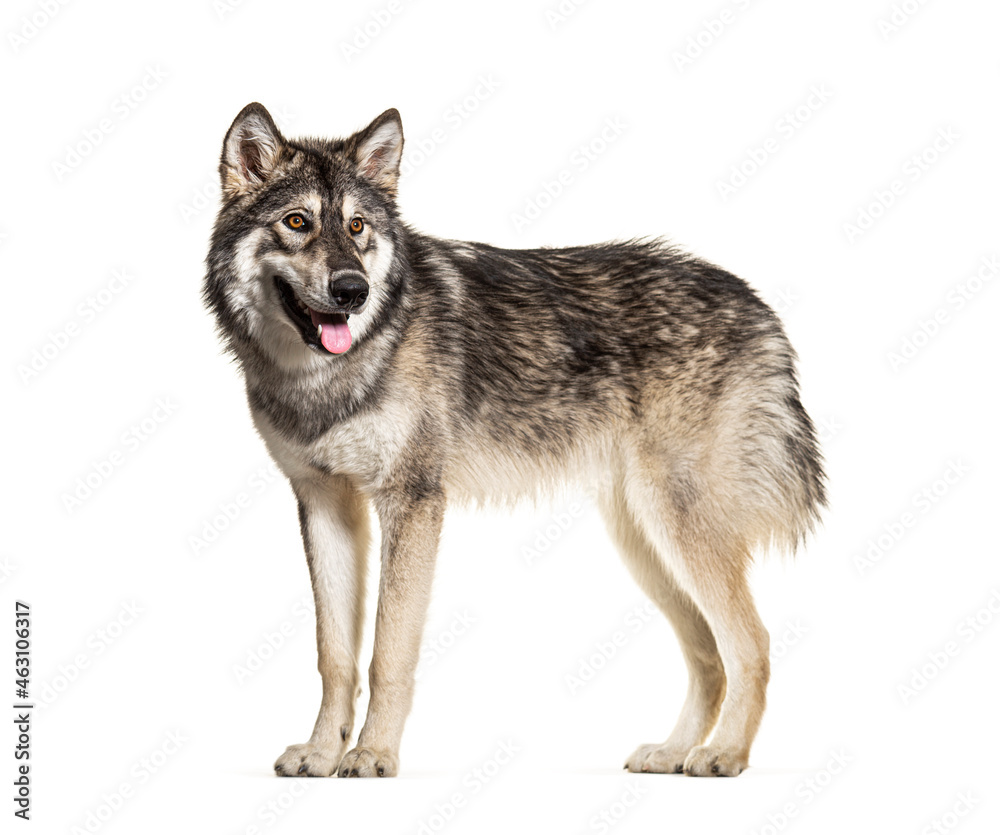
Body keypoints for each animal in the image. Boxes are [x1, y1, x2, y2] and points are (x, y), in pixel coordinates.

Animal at [203, 103, 828, 776]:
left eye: (357, 226)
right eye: (297, 222)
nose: (352, 291)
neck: (327, 378)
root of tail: (758, 304)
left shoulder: (412, 504)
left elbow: (387, 653)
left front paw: (372, 755)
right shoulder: (324, 505)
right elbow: (335, 655)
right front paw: (322, 753)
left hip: (679, 528)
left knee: (752, 643)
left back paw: (724, 755)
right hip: (644, 540)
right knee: (710, 654)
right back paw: (673, 752)